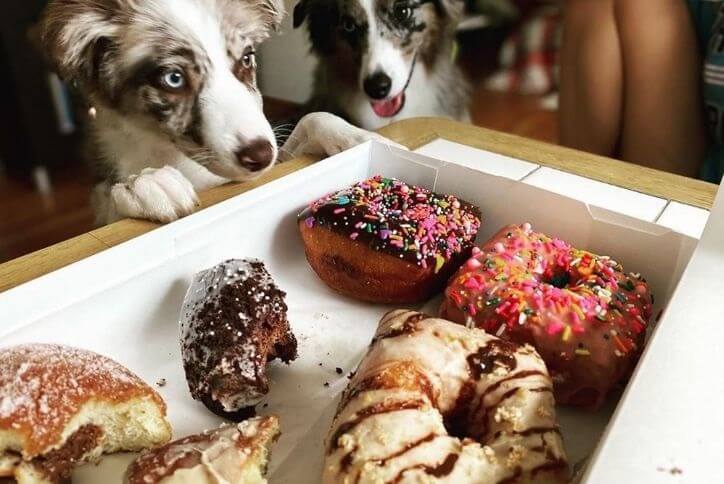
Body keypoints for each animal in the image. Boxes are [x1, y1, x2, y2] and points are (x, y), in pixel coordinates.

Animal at [40, 0, 398, 223]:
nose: (259, 156)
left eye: (247, 58)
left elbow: (311, 120)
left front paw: (360, 138)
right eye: (173, 79)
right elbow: (107, 200)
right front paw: (143, 184)